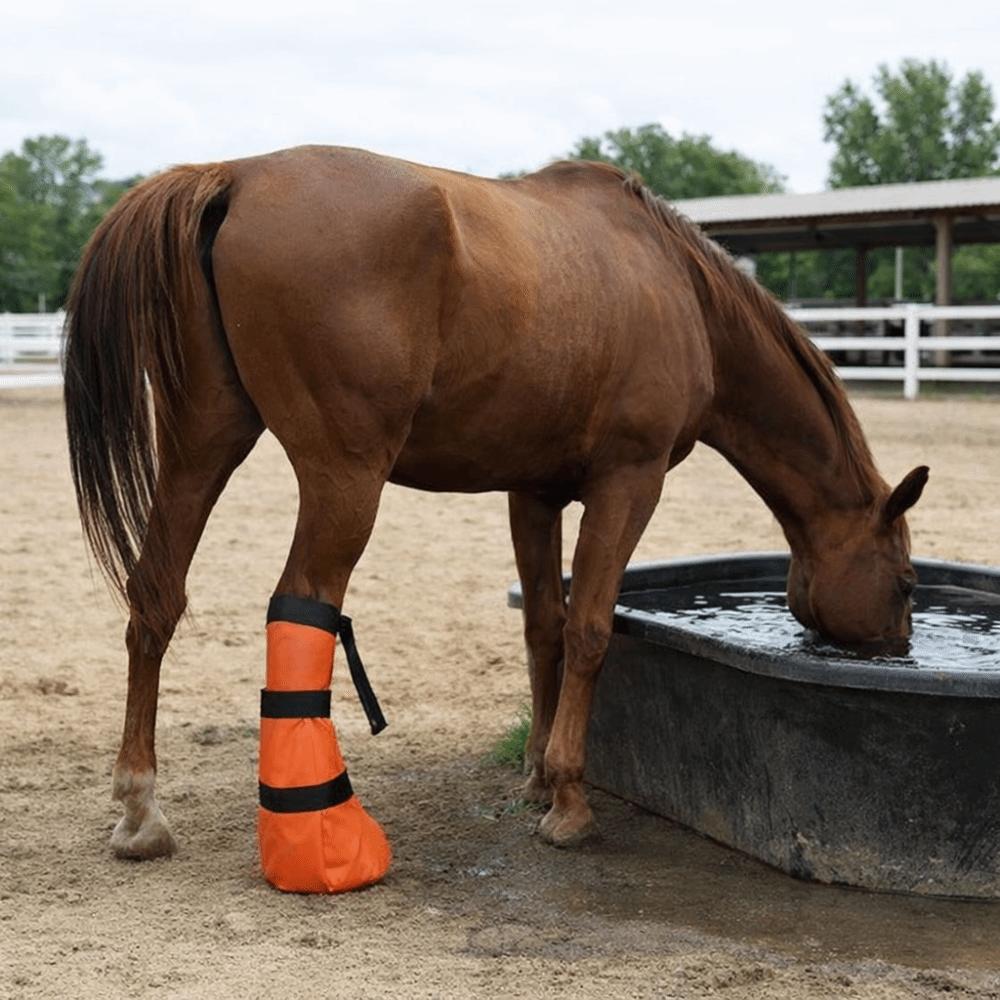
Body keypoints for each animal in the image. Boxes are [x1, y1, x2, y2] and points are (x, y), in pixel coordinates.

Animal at [63, 145, 928, 861]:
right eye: (909, 581)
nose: (897, 650)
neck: (676, 286)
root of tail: (235, 175)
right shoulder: (629, 482)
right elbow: (589, 630)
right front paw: (571, 802)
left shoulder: (533, 492)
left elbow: (542, 625)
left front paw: (539, 776)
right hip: (343, 481)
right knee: (302, 607)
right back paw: (319, 831)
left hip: (201, 448)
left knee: (156, 597)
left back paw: (140, 812)